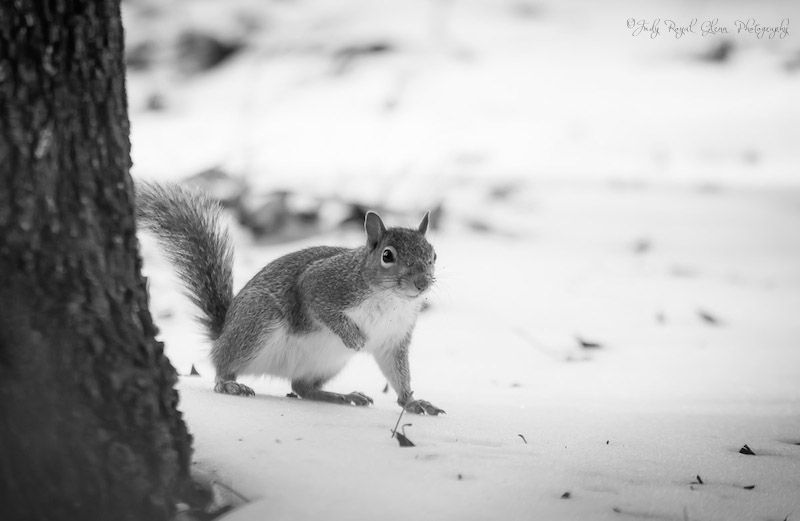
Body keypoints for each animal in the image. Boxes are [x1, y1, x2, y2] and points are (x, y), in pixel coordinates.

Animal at [138, 183, 446, 414]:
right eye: (387, 255)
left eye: (433, 255)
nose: (422, 283)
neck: (391, 299)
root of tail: (223, 332)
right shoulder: (324, 283)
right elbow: (320, 304)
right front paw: (353, 336)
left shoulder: (394, 338)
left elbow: (398, 371)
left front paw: (412, 401)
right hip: (258, 320)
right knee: (222, 363)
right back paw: (228, 383)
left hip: (325, 363)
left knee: (301, 388)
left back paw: (341, 396)